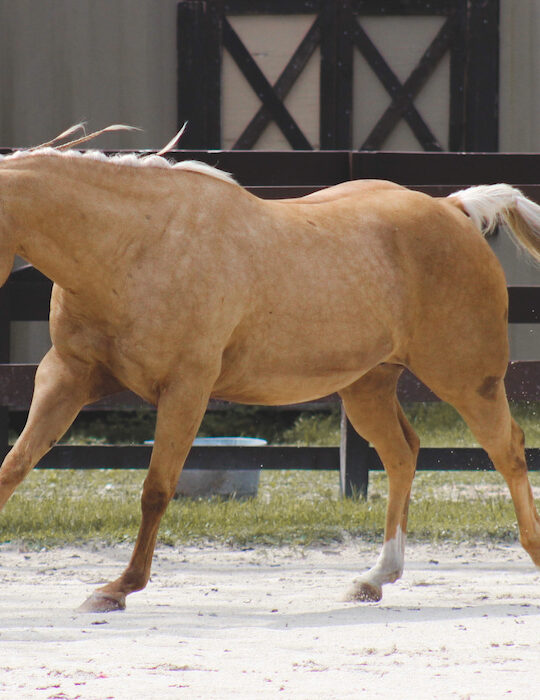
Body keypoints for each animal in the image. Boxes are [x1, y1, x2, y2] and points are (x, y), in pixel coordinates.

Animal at [0, 127, 536, 612]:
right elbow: (14, 466)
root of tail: (453, 208)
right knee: (403, 454)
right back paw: (375, 578)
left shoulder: (185, 390)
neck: (136, 245)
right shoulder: (67, 377)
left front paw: (119, 588)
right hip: (368, 386)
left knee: (508, 450)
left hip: (468, 381)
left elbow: (156, 489)